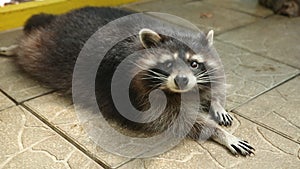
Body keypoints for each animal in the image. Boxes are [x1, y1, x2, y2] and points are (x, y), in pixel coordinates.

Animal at [1, 7, 255, 156]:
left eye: (194, 64)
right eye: (168, 64)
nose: (182, 81)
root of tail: (61, 18)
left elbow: (216, 79)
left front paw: (216, 103)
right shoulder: (141, 96)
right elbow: (182, 121)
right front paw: (218, 133)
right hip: (44, 50)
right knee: (29, 48)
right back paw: (15, 48)